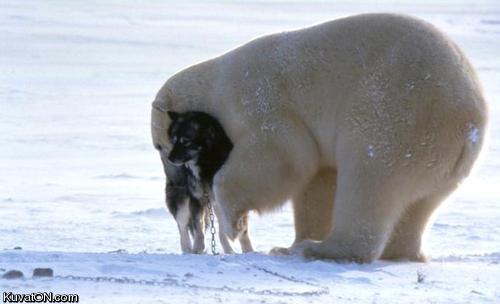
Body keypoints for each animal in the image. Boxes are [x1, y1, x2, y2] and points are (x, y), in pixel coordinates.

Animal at [159, 111, 254, 254]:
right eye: (174, 141)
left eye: (185, 142)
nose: (169, 158)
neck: (206, 165)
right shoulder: (197, 199)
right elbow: (198, 227)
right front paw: (198, 248)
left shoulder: (231, 199)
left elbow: (239, 229)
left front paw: (249, 251)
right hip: (181, 200)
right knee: (182, 227)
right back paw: (188, 250)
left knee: (221, 229)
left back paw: (229, 250)